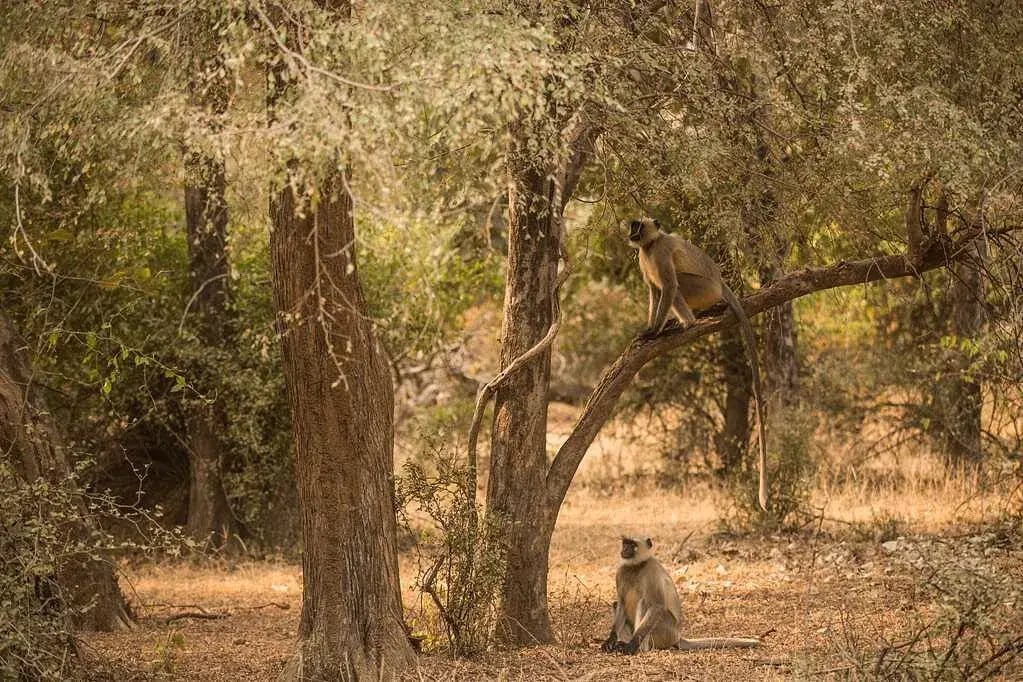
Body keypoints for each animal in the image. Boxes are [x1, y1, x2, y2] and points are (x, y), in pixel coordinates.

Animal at [597, 535, 761, 654]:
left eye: (632, 545)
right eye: (625, 543)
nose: (624, 549)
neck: (636, 566)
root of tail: (677, 636)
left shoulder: (651, 570)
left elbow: (657, 606)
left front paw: (631, 645)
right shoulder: (621, 571)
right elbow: (621, 602)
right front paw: (610, 641)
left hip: (665, 631)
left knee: (646, 603)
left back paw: (639, 648)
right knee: (617, 604)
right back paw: (620, 643)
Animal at [621, 215, 769, 509]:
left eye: (638, 226)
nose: (631, 233)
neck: (650, 246)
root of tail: (720, 281)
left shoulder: (661, 251)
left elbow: (666, 287)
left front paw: (653, 332)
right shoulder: (644, 257)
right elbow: (654, 292)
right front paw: (651, 328)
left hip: (703, 289)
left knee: (676, 284)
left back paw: (686, 323)